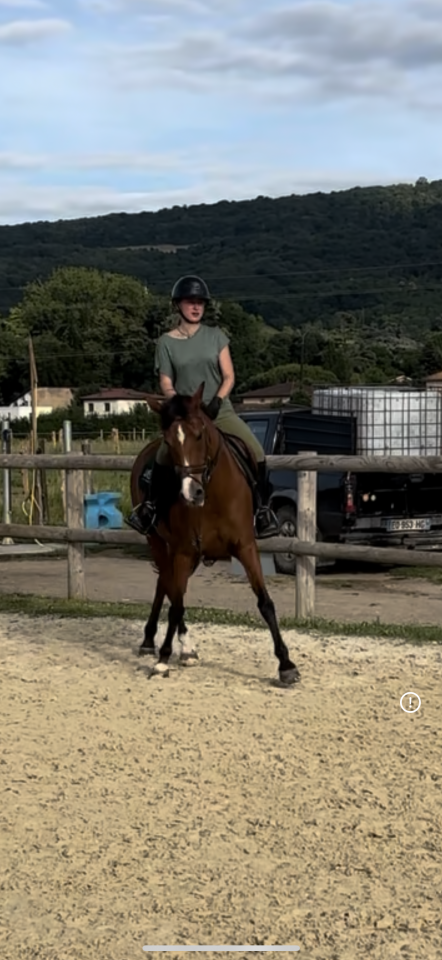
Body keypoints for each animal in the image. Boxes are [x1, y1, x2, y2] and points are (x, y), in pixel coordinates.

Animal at [130, 383, 300, 686]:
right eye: (169, 442)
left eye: (199, 434)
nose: (191, 492)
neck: (211, 497)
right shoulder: (184, 550)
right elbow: (176, 604)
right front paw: (163, 659)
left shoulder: (246, 547)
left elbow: (265, 602)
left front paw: (286, 665)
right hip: (159, 543)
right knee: (169, 587)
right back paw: (165, 643)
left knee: (166, 584)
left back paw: (167, 643)